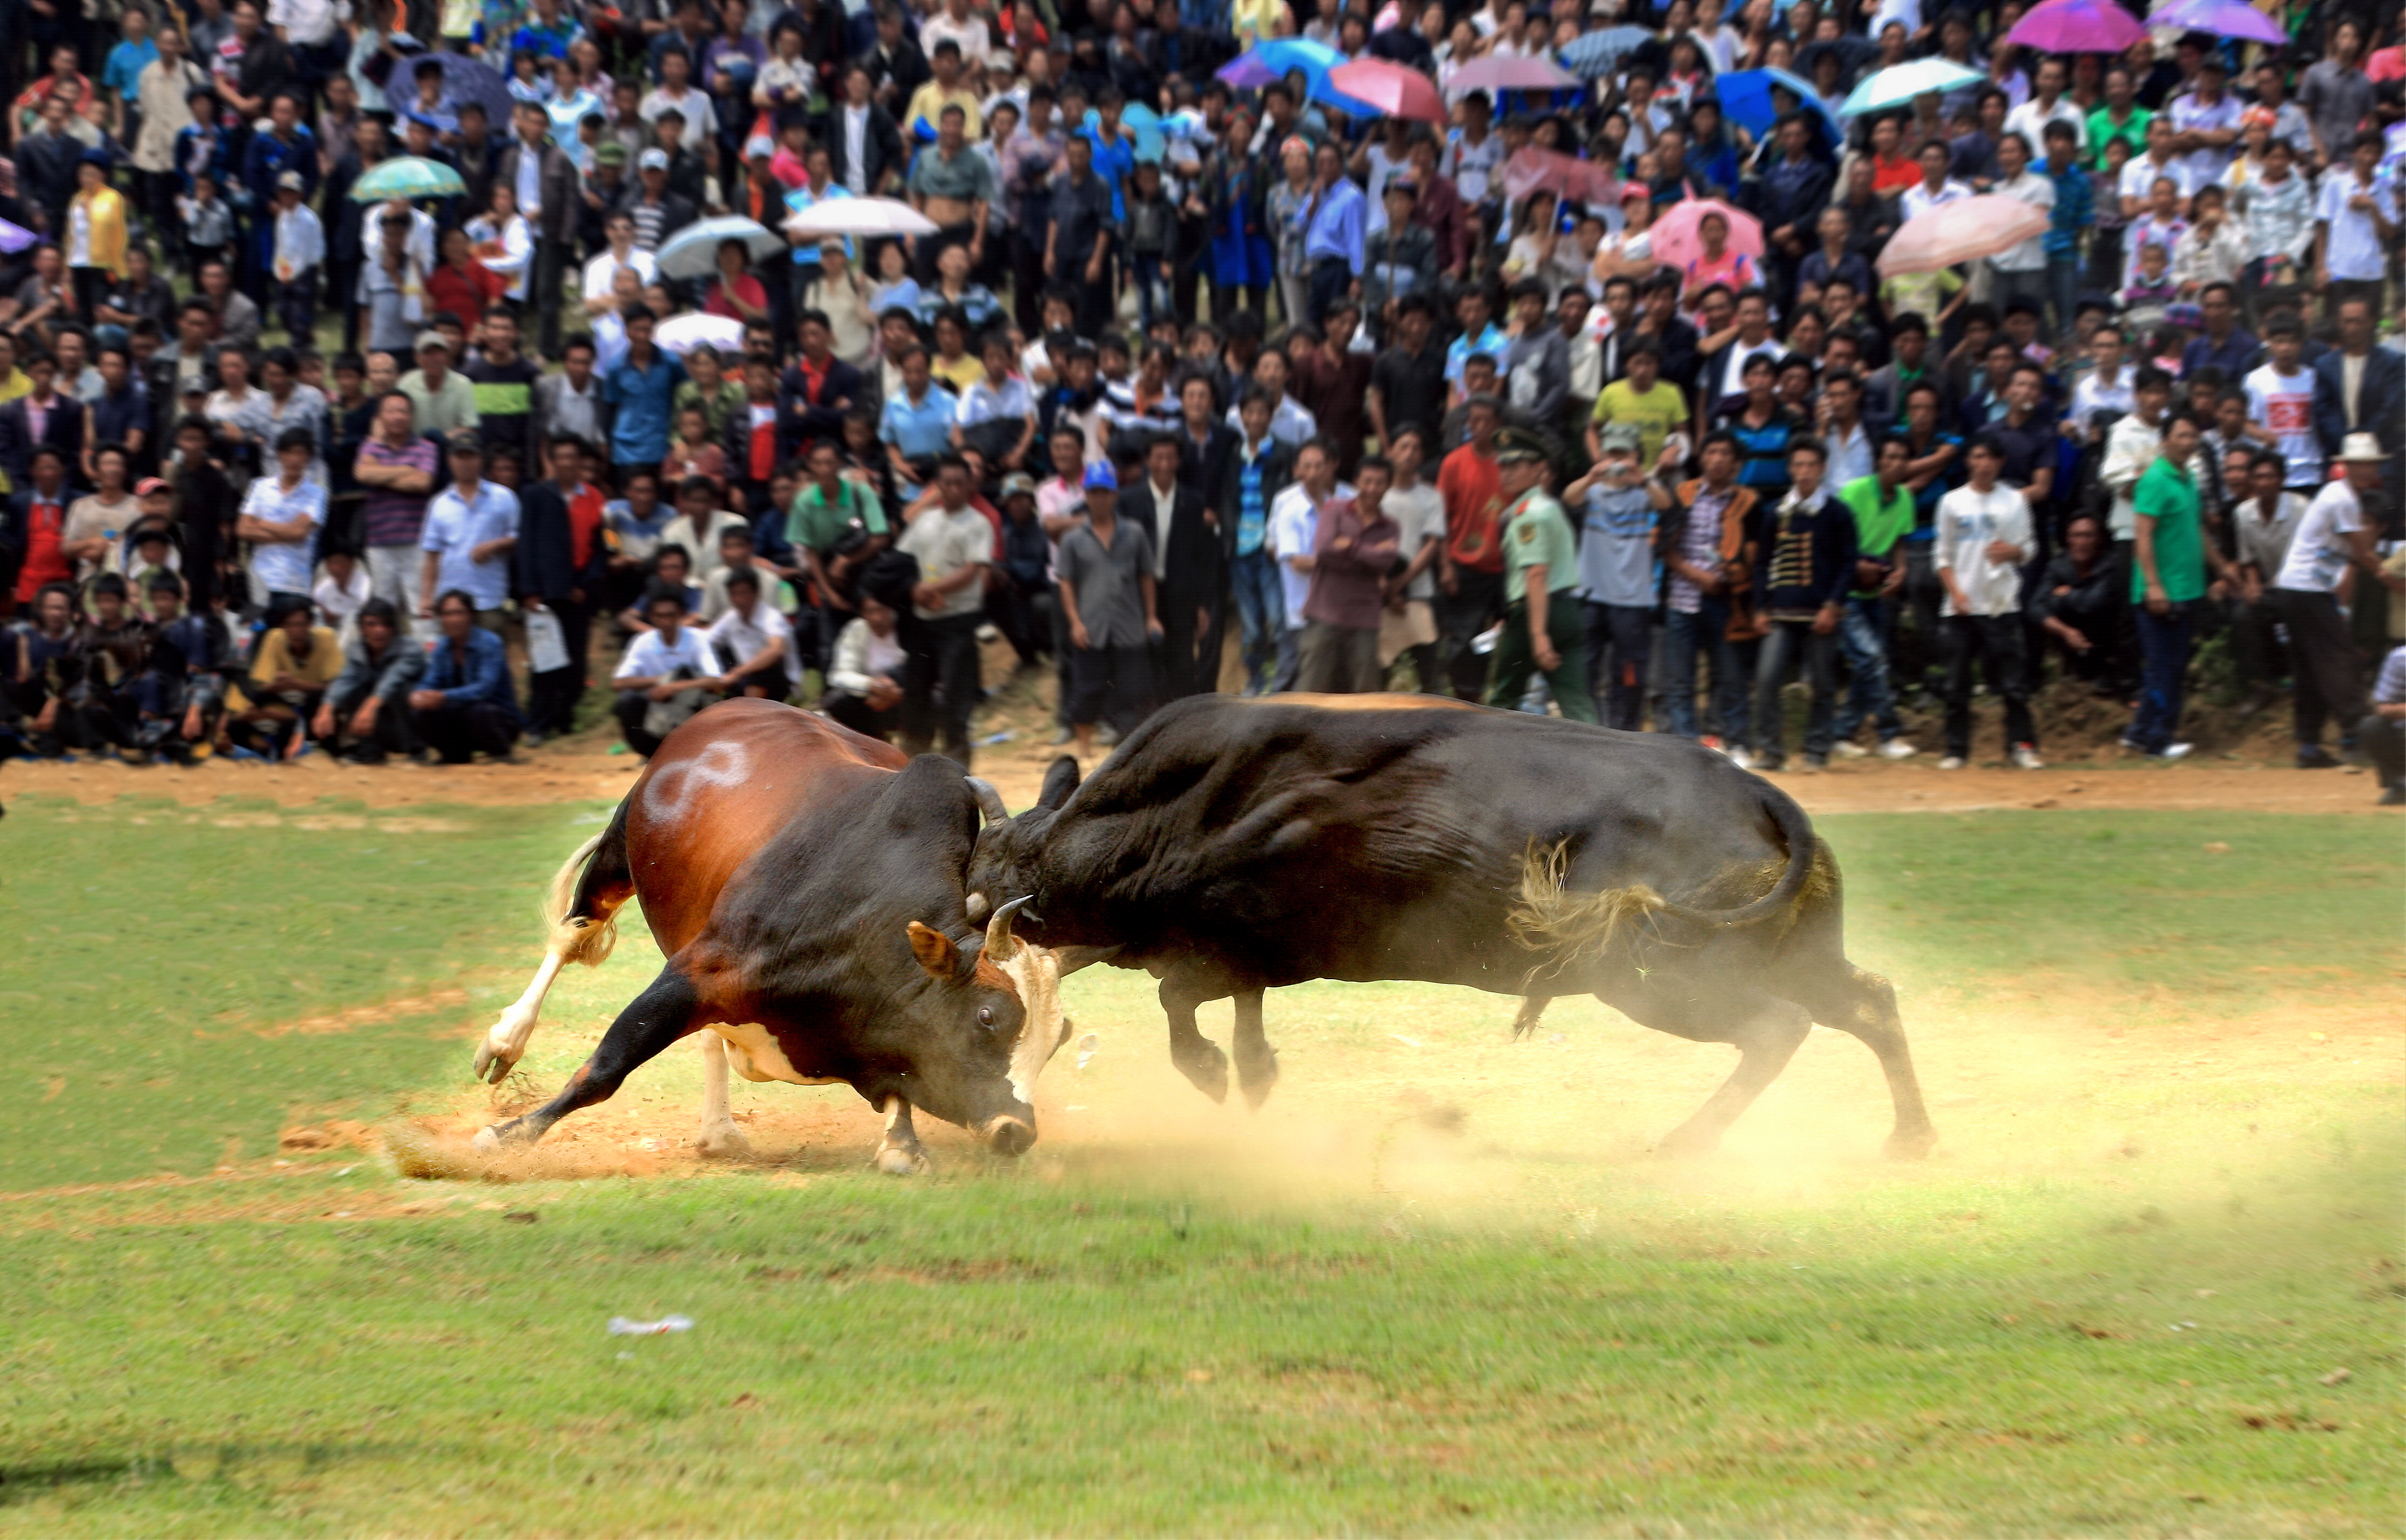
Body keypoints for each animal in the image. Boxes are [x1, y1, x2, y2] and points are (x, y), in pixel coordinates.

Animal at [962, 693, 1934, 1155]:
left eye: (982, 897)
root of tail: (1762, 797)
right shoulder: (1246, 954)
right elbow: (1229, 1011)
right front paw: (1253, 1075)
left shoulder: (1234, 942)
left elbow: (1185, 1007)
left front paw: (1215, 1074)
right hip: (1786, 958)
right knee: (1872, 1003)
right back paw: (1909, 1138)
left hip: (1660, 980)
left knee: (1780, 1028)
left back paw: (1687, 1140)